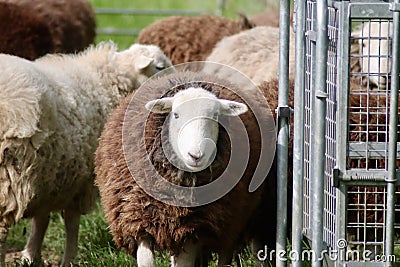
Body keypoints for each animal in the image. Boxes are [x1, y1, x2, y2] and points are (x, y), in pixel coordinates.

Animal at [0, 42, 173, 267]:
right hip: (9, 173)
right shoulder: (80, 181)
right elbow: (72, 222)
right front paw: (69, 259)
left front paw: (31, 256)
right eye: (159, 67)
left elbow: (42, 219)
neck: (107, 83)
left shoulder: (49, 177)